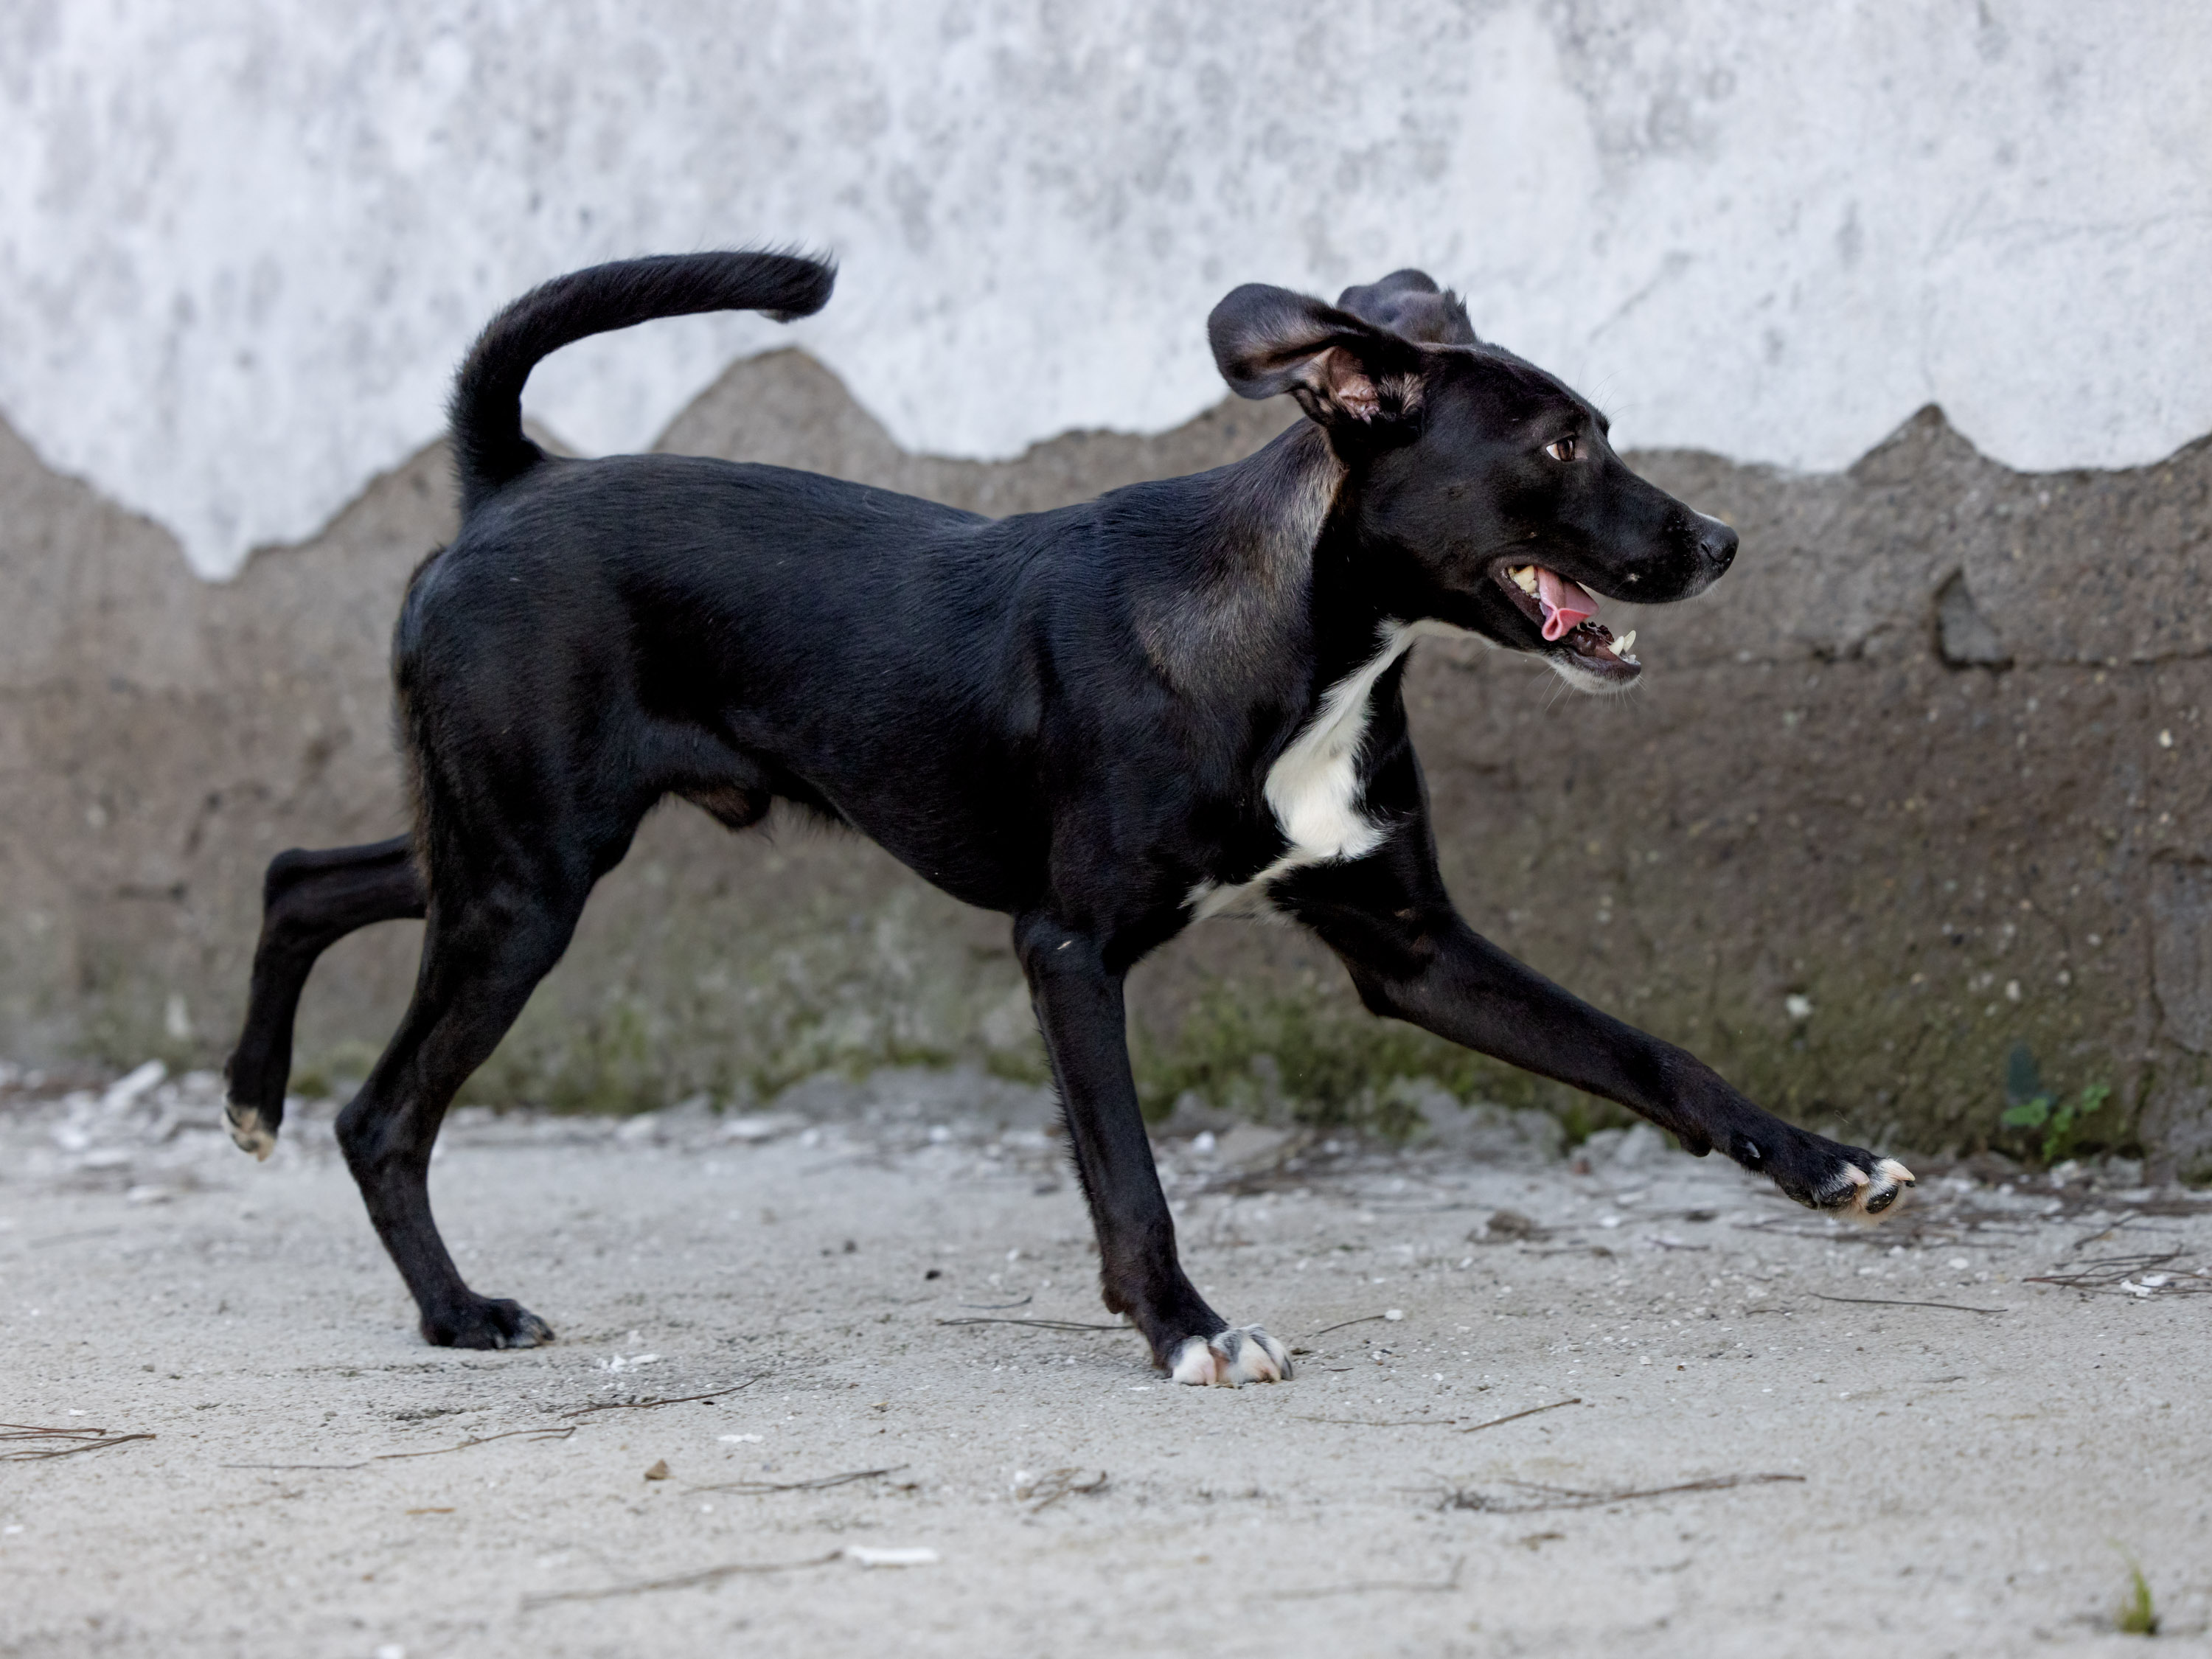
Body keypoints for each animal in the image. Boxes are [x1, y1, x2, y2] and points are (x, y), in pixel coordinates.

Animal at [224, 250, 1914, 1385]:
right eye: (1561, 447)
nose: (1721, 541)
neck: (1297, 641)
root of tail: (507, 483)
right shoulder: (1067, 951)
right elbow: (1130, 1174)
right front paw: (1185, 1328)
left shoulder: (1412, 948)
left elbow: (1651, 1055)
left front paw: (1822, 1162)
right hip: (530, 883)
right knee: (384, 1113)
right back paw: (452, 1310)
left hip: (505, 856)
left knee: (303, 872)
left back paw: (251, 1096)